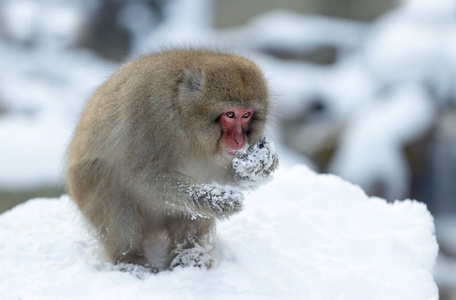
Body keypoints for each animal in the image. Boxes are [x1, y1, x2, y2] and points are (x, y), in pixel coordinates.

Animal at [65, 49, 278, 272]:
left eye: (246, 115)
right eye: (230, 114)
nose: (239, 140)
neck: (185, 117)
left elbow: (219, 175)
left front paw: (260, 165)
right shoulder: (150, 113)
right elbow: (141, 178)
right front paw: (217, 200)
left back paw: (189, 255)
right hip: (85, 187)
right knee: (109, 181)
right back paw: (130, 257)